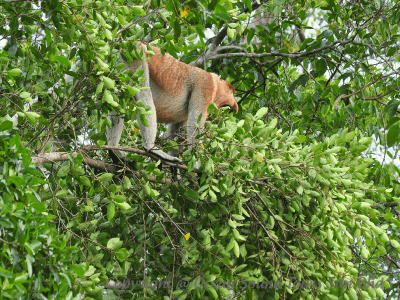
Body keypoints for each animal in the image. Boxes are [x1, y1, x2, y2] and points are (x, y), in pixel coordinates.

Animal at [105, 44, 238, 164]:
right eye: (231, 90)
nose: (235, 105)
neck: (216, 84)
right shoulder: (205, 85)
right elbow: (194, 122)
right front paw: (197, 165)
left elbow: (177, 129)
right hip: (135, 56)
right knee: (143, 94)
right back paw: (150, 148)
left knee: (117, 100)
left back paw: (114, 150)